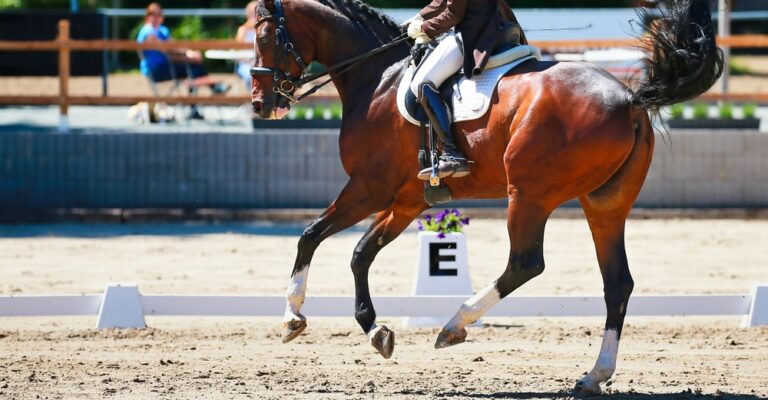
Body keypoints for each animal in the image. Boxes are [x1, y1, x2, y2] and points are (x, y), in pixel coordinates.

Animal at [249, 0, 722, 395]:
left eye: (264, 37)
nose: (260, 105)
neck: (376, 78)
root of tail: (629, 98)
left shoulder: (368, 188)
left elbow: (310, 236)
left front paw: (292, 318)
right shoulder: (406, 201)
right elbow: (360, 254)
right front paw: (375, 330)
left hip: (528, 194)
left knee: (526, 264)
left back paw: (454, 325)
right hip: (604, 203)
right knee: (617, 283)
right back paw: (593, 375)